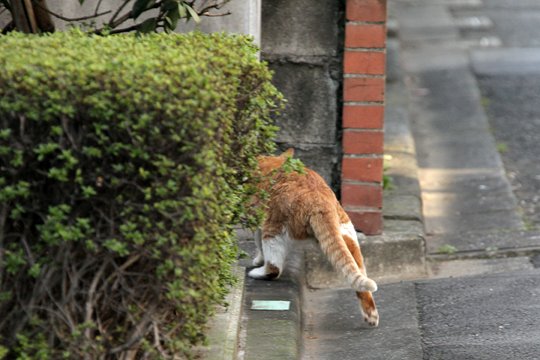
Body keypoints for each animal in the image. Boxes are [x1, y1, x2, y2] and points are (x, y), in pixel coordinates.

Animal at [247, 148, 378, 326]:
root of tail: (319, 201)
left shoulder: (258, 222)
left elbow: (258, 244)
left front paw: (257, 260)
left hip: (273, 230)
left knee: (274, 268)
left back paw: (257, 272)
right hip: (347, 235)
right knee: (359, 273)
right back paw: (371, 315)